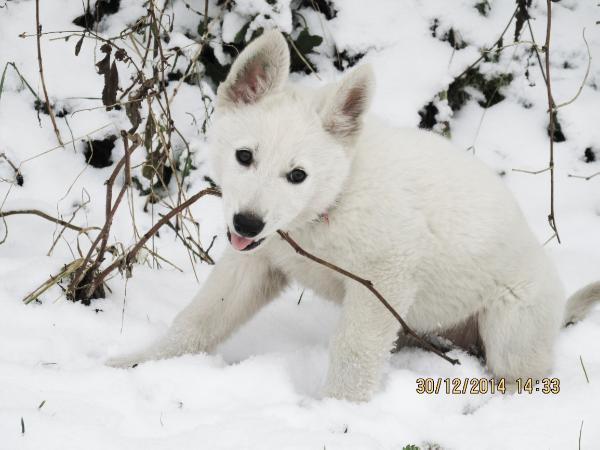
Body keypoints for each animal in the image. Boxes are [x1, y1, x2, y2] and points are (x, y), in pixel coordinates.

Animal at [108, 30, 600, 400]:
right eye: (244, 156)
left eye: (298, 175)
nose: (246, 224)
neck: (329, 203)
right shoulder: (256, 263)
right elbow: (199, 319)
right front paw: (140, 363)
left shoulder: (382, 281)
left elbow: (353, 353)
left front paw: (337, 411)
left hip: (511, 333)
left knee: (520, 379)